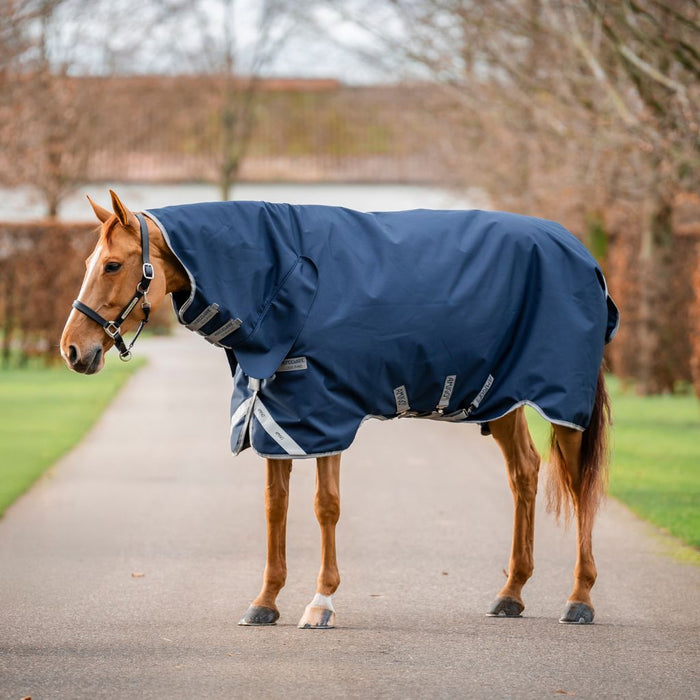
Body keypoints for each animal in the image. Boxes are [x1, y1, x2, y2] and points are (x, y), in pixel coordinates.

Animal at [60, 189, 618, 628]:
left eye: (113, 265)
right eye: (86, 265)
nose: (72, 350)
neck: (279, 276)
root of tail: (583, 255)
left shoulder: (323, 414)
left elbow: (324, 506)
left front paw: (321, 602)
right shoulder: (275, 414)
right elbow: (275, 506)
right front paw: (265, 602)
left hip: (562, 404)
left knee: (579, 487)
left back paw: (580, 598)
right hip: (500, 399)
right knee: (525, 473)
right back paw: (511, 594)